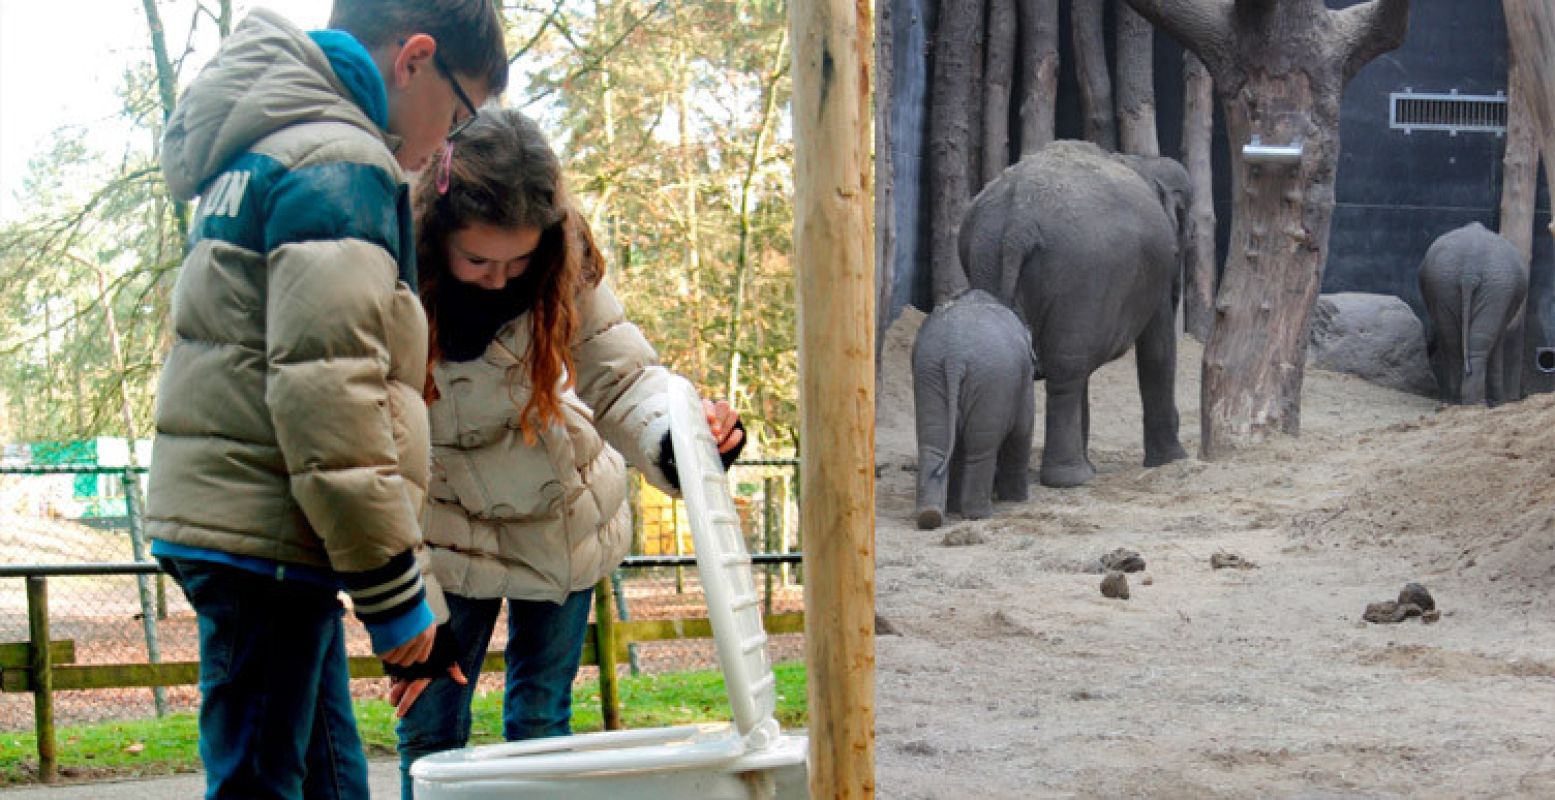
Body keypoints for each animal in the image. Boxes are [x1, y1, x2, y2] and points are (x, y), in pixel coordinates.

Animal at [908, 287, 1032, 529]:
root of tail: (954, 355)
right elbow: (1022, 430)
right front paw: (1018, 500)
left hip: (928, 373)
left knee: (934, 442)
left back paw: (931, 516)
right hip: (990, 380)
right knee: (982, 445)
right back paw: (979, 515)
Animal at [957, 138, 1188, 485]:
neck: (1139, 161)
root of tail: (1018, 221)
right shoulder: (1156, 271)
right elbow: (1158, 350)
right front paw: (1174, 460)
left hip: (986, 257)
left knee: (1055, 364)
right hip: (1082, 273)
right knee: (1068, 371)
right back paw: (1073, 478)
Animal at [1424, 219, 1530, 401]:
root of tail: (1470, 271)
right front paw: (1499, 401)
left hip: (1446, 281)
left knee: (1453, 343)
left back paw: (1454, 400)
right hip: (1496, 286)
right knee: (1479, 342)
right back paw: (1477, 402)